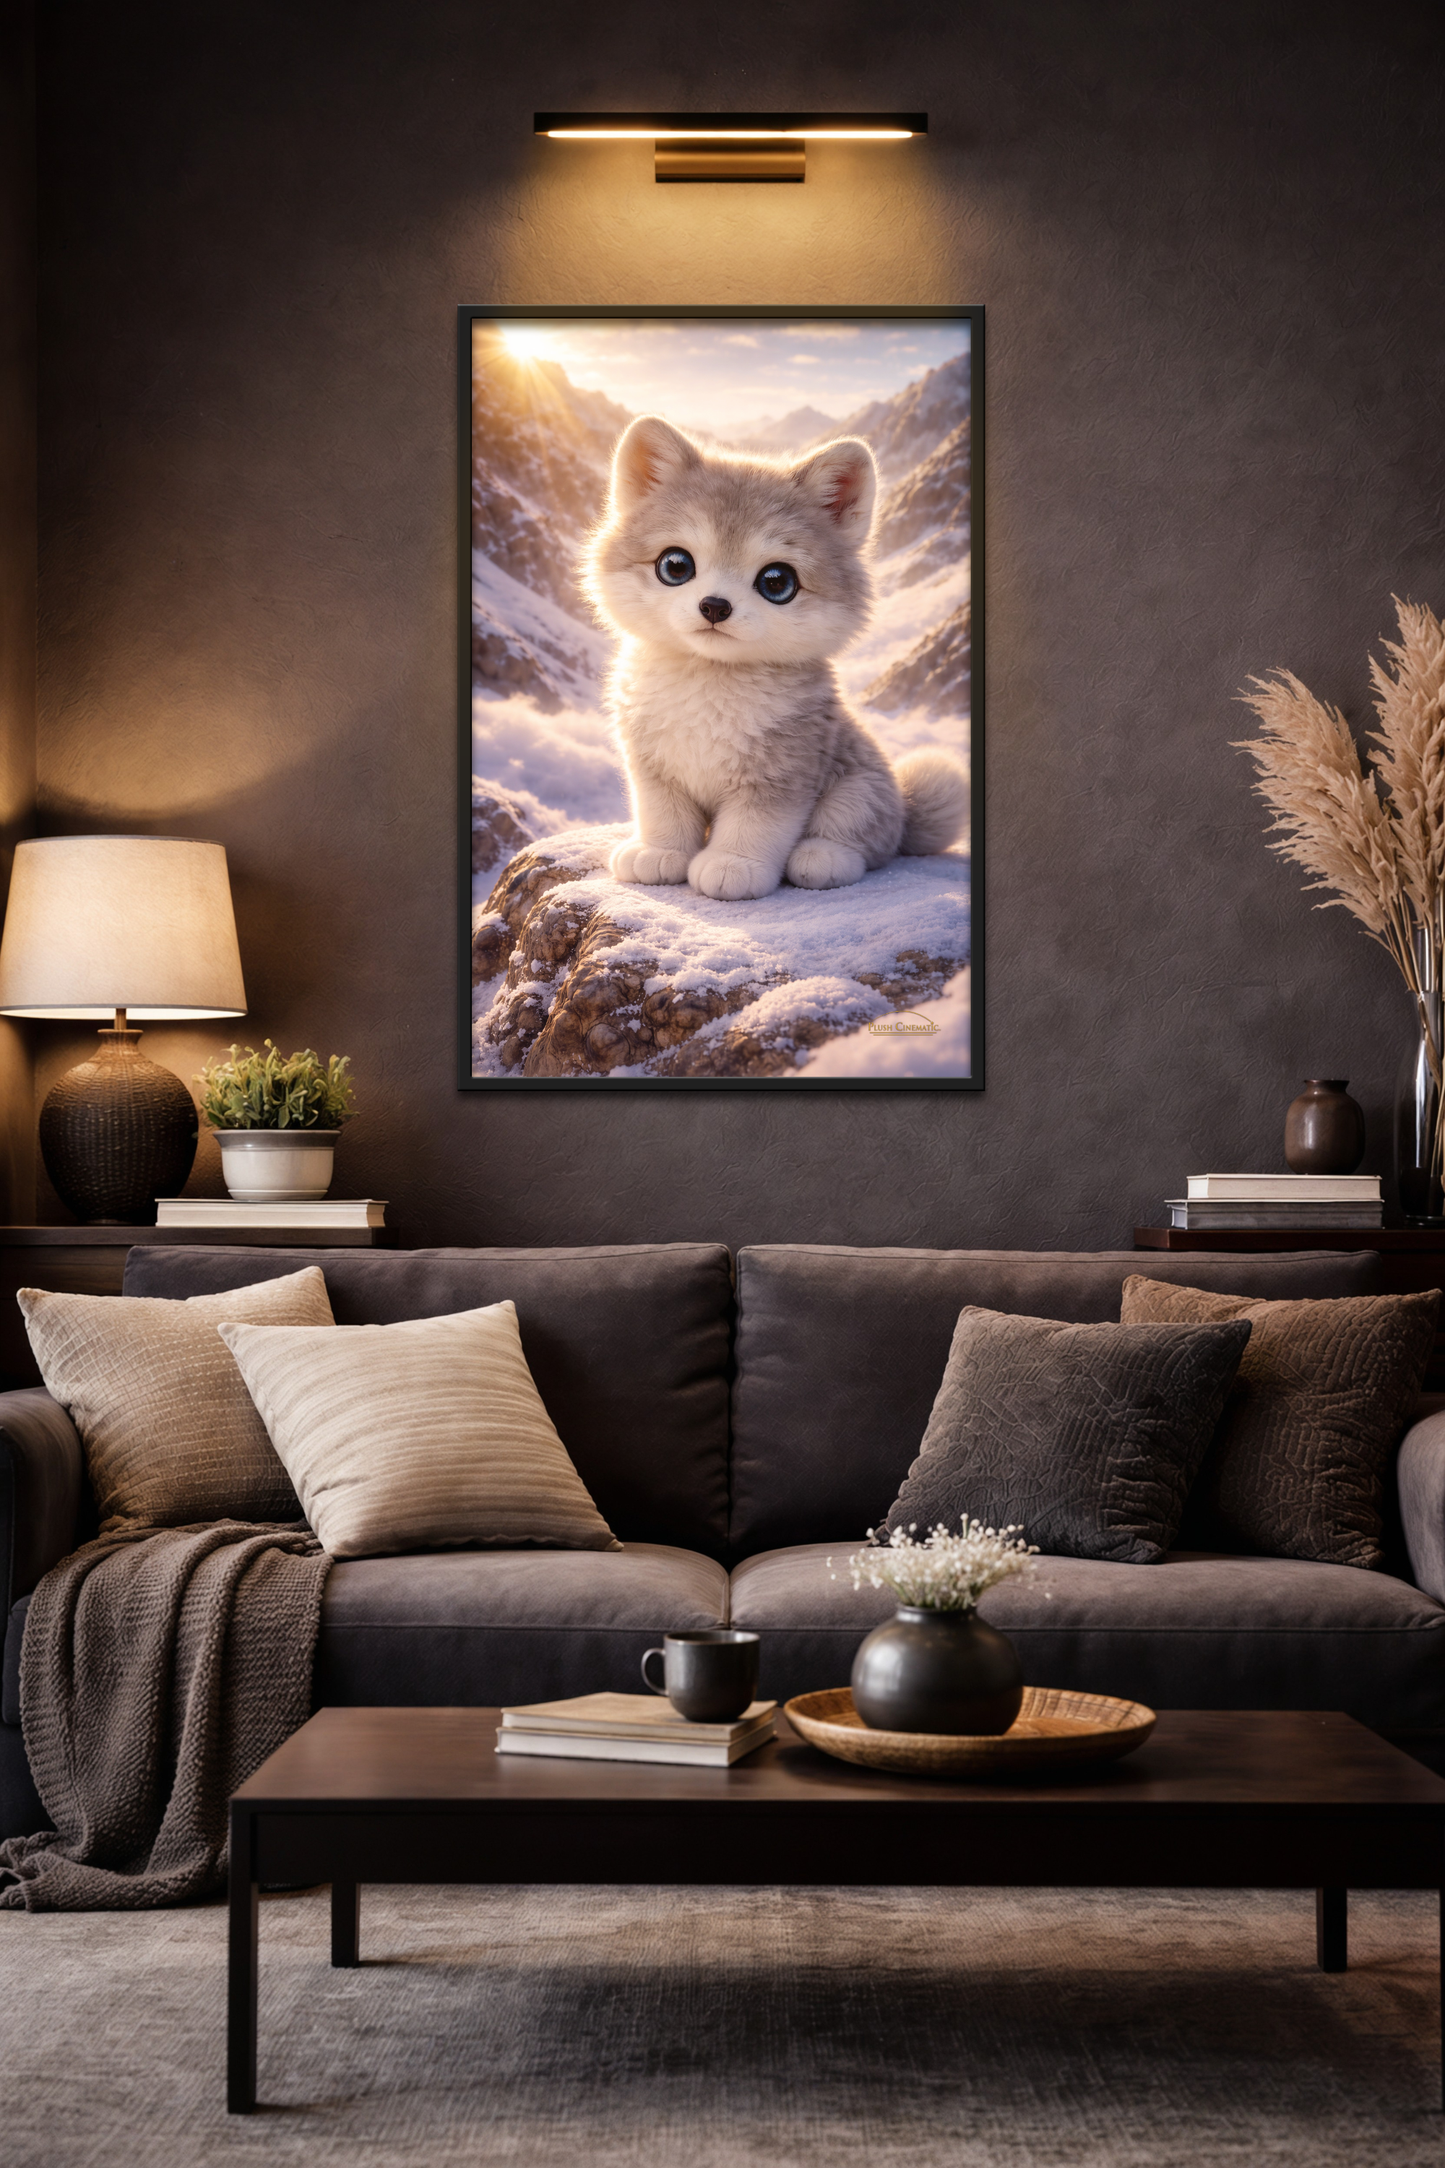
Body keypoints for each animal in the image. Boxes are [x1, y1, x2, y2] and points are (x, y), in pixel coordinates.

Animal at [580, 416, 969, 902]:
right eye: (675, 565)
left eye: (777, 581)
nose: (714, 606)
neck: (712, 686)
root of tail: (906, 808)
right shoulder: (654, 770)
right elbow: (663, 816)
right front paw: (658, 852)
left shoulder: (781, 777)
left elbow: (755, 828)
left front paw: (734, 865)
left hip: (858, 789)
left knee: (866, 840)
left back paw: (823, 858)